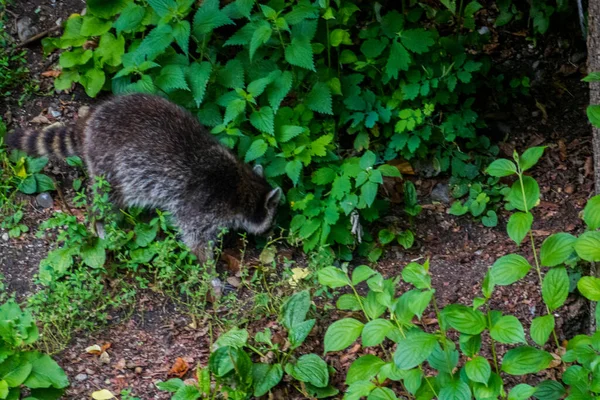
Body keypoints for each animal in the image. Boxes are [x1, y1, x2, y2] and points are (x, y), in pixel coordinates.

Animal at [6, 94, 284, 262]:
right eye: (271, 218)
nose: (273, 235)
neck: (241, 186)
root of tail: (89, 123)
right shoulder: (201, 207)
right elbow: (195, 240)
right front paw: (211, 273)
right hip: (108, 165)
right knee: (106, 200)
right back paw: (100, 224)